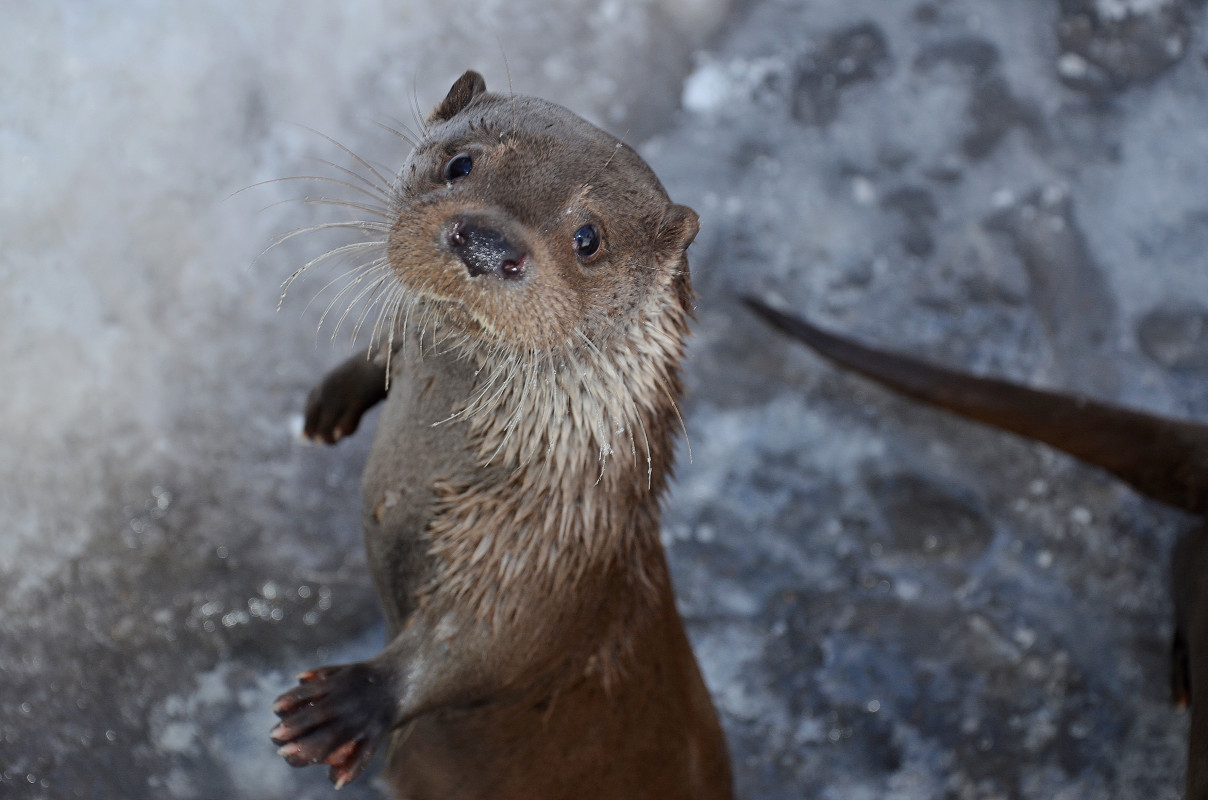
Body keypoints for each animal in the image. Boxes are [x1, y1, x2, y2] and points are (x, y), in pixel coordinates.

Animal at [269, 70, 729, 800]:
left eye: (588, 237)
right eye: (460, 164)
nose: (487, 243)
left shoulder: (540, 562)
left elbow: (482, 644)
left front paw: (346, 704)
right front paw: (340, 391)